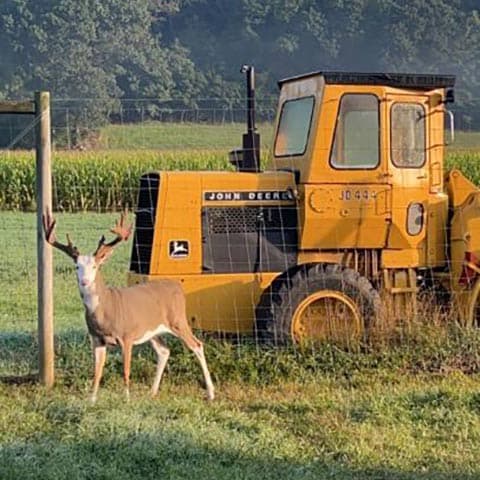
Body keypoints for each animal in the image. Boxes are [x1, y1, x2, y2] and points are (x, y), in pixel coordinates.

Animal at [42, 212, 215, 404]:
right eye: (77, 266)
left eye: (95, 266)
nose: (85, 281)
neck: (105, 309)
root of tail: (177, 286)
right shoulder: (96, 338)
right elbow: (97, 372)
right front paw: (92, 400)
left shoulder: (127, 336)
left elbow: (125, 370)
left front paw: (126, 399)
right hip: (153, 331)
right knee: (164, 351)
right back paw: (152, 392)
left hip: (178, 320)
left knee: (197, 345)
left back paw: (211, 393)